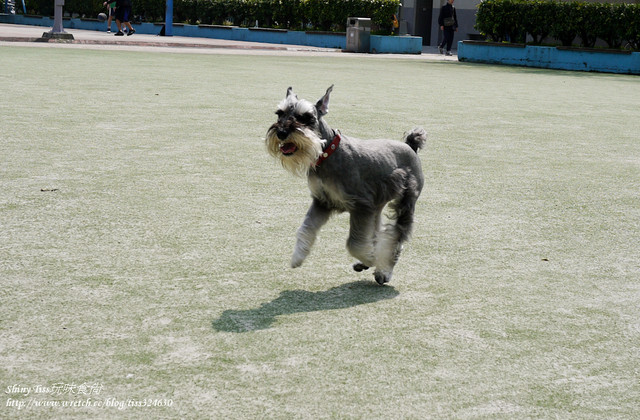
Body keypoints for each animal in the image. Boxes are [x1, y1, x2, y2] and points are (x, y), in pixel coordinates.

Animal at [264, 85, 424, 284]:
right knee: (378, 233)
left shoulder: (361, 205)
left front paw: (371, 258)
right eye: (279, 113)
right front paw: (298, 256)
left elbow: (354, 243)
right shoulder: (322, 202)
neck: (326, 153)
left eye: (306, 117)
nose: (281, 133)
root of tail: (410, 146)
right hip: (377, 206)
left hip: (405, 201)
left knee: (396, 235)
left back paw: (384, 270)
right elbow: (305, 228)